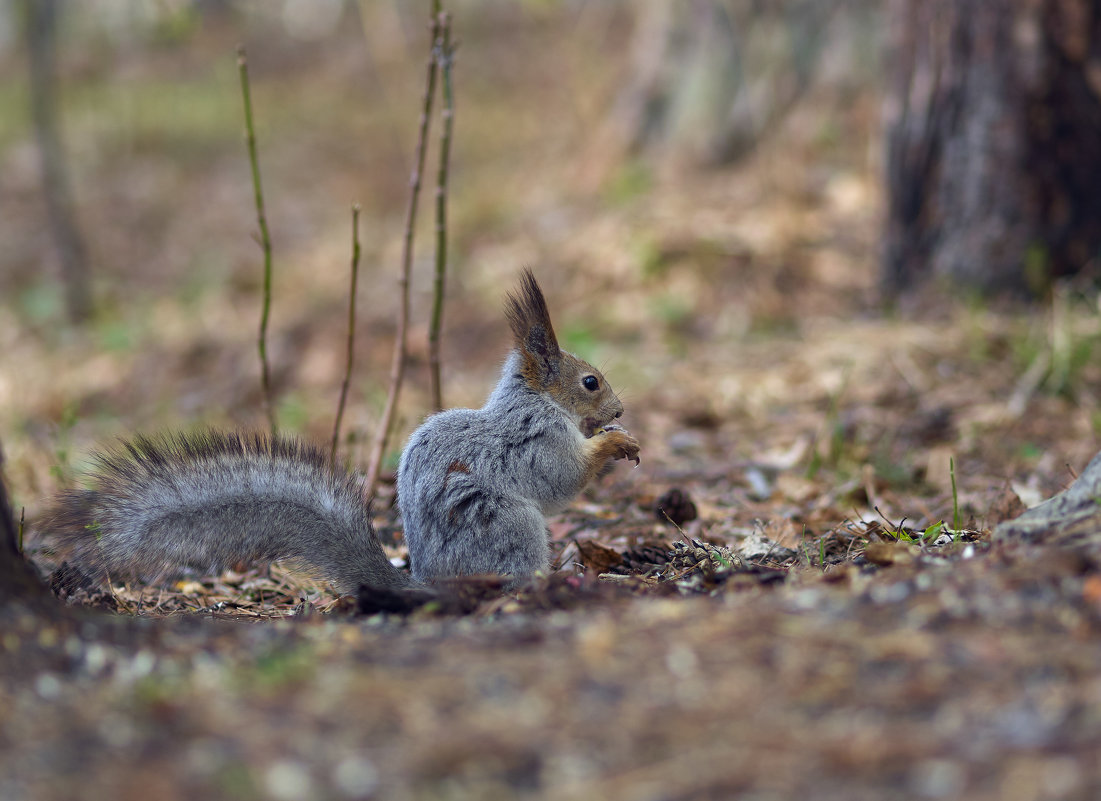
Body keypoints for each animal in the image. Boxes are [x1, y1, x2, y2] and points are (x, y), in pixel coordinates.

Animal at [47, 269, 642, 594]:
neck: (534, 400)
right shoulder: (537, 439)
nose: (620, 407)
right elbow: (562, 479)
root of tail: (427, 582)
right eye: (590, 382)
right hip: (509, 525)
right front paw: (615, 443)